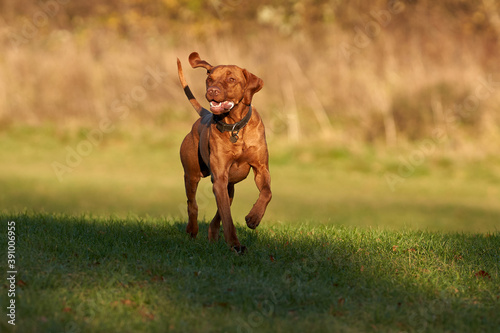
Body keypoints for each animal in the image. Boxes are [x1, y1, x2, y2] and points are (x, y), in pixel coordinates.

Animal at [175, 51, 270, 252]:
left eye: (232, 79)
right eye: (210, 79)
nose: (212, 91)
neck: (235, 127)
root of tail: (204, 114)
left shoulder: (261, 168)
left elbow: (267, 193)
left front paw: (254, 217)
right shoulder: (219, 178)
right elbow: (227, 217)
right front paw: (234, 244)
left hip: (230, 185)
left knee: (217, 212)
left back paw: (212, 235)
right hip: (192, 175)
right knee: (192, 204)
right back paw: (192, 230)